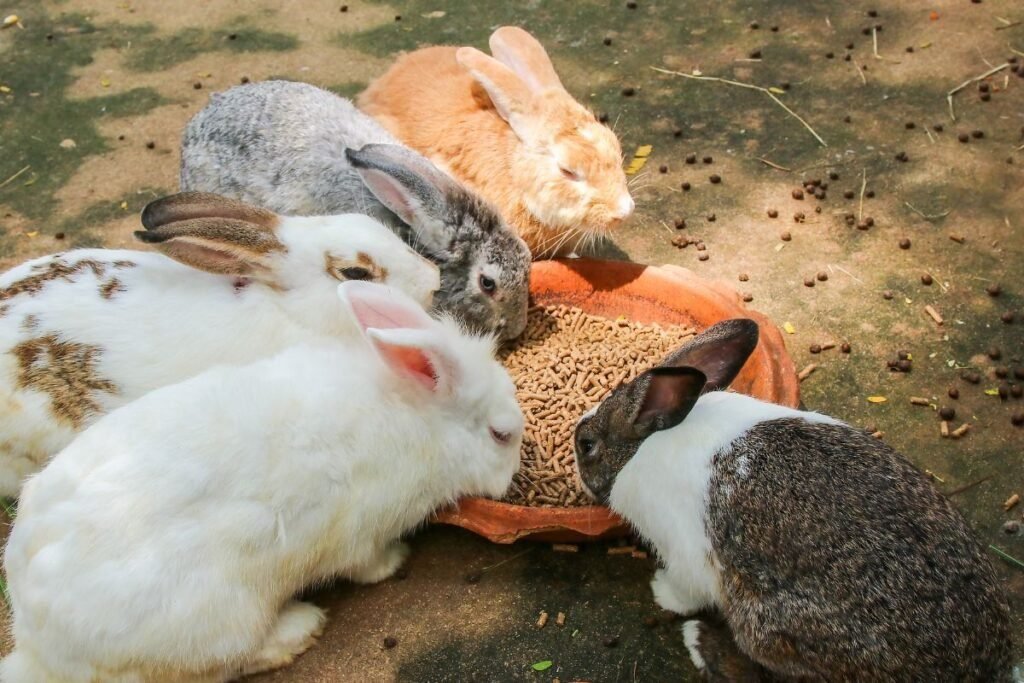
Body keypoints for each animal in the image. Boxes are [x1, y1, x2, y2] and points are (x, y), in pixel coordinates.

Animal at [1, 280, 524, 682]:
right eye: (501, 435)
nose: (514, 476)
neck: (420, 418)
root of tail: (39, 648)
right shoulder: (360, 531)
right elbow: (366, 564)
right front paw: (396, 560)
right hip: (219, 619)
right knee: (226, 662)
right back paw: (300, 627)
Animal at [573, 319, 1013, 681]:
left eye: (587, 445)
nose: (576, 446)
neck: (643, 446)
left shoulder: (687, 555)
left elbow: (685, 591)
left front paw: (661, 592)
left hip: (765, 624)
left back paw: (700, 643)